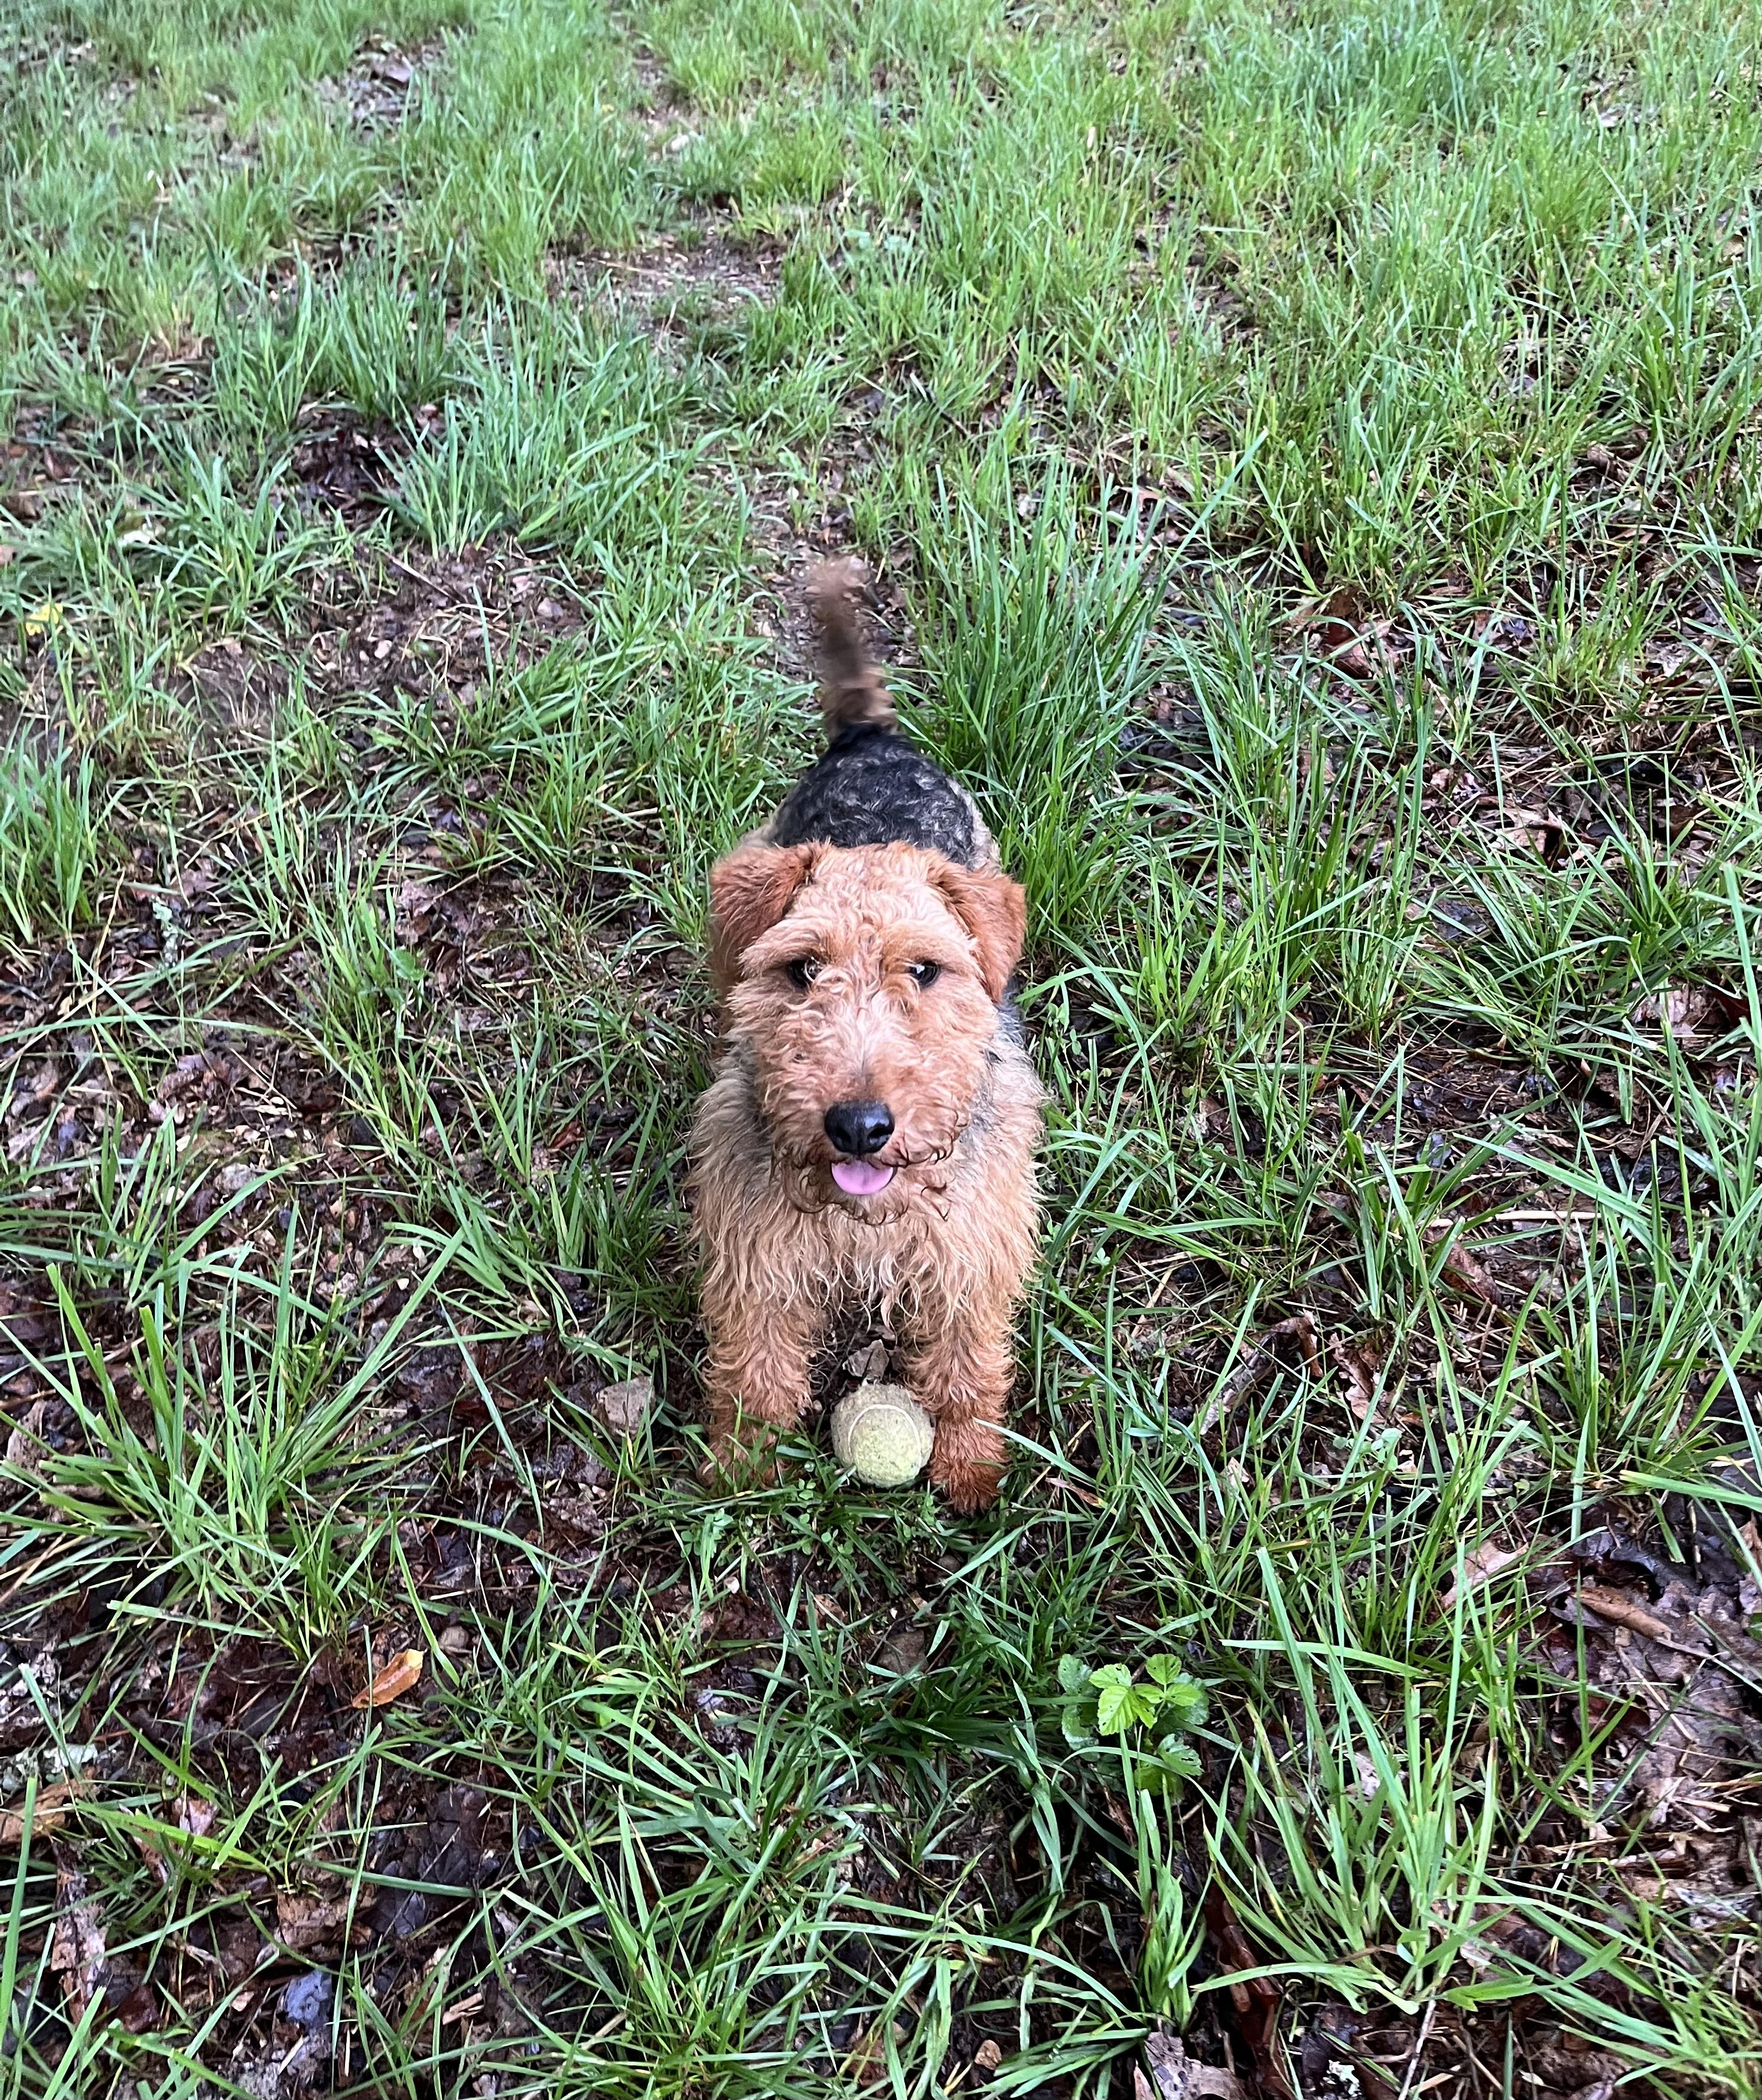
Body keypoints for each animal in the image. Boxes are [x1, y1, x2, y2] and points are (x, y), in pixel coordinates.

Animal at [688, 561, 1043, 1511]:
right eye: (803, 969)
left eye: (923, 970)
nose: (858, 1126)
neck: (867, 1222)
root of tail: (868, 740)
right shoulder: (758, 1258)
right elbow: (756, 1366)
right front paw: (744, 1473)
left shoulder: (969, 1254)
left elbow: (965, 1366)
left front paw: (970, 1470)